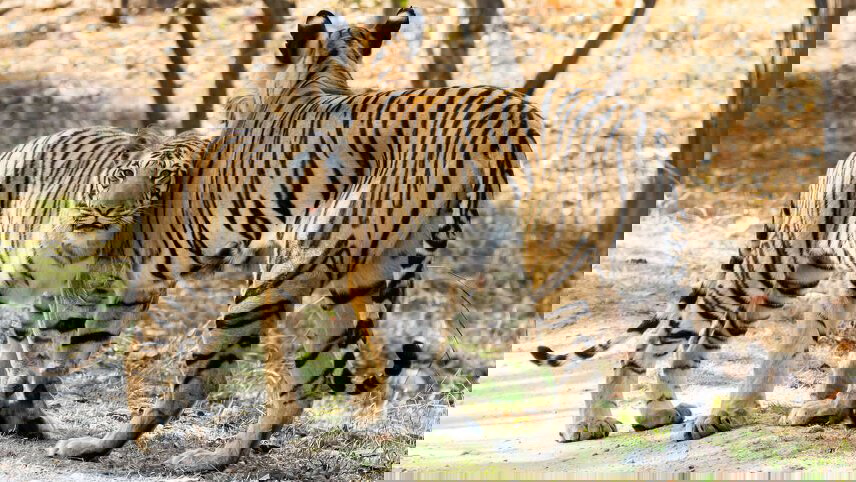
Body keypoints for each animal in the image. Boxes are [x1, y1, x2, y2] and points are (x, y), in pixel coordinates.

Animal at [0, 8, 540, 472]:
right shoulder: (111, 292)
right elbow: (48, 343)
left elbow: (36, 332)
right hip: (337, 283)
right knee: (294, 390)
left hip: (284, 274)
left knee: (205, 382)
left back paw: (119, 448)